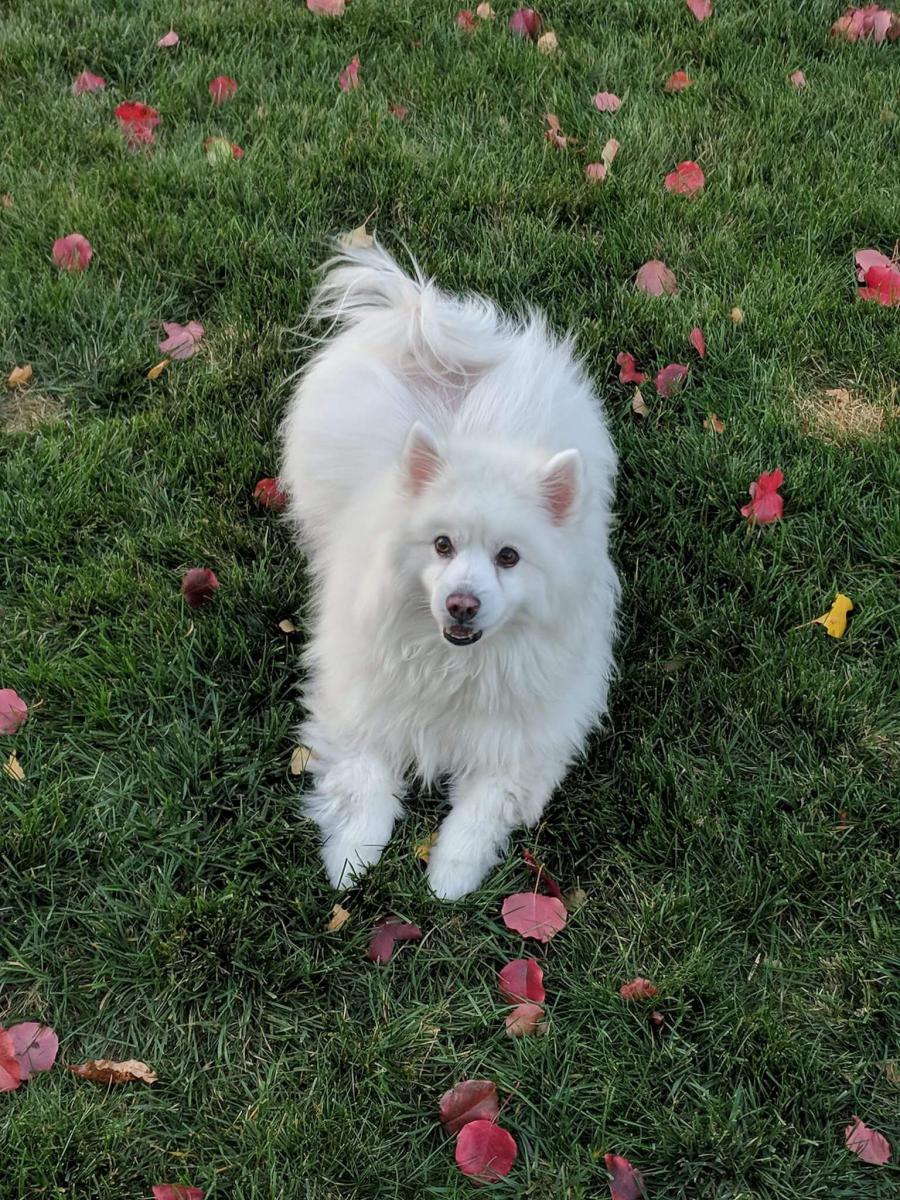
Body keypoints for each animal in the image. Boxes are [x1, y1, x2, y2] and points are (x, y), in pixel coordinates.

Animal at [280, 244, 619, 899]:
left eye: (509, 557)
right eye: (441, 545)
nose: (462, 603)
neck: (455, 665)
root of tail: (426, 330)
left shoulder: (523, 744)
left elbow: (479, 812)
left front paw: (448, 878)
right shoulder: (359, 709)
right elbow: (366, 789)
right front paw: (351, 862)